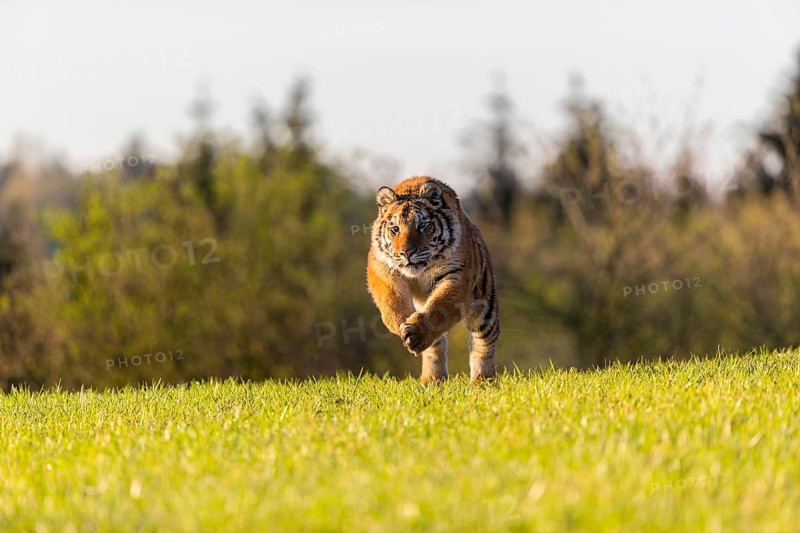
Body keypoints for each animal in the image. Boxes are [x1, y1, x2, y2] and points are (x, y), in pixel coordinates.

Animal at [366, 176, 500, 384]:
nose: (407, 253)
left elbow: (439, 308)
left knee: (484, 343)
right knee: (435, 346)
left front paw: (414, 332)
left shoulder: (457, 276)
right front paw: (402, 323)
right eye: (395, 229)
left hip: (485, 308)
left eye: (423, 226)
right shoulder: (382, 266)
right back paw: (431, 380)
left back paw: (482, 381)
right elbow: (391, 299)